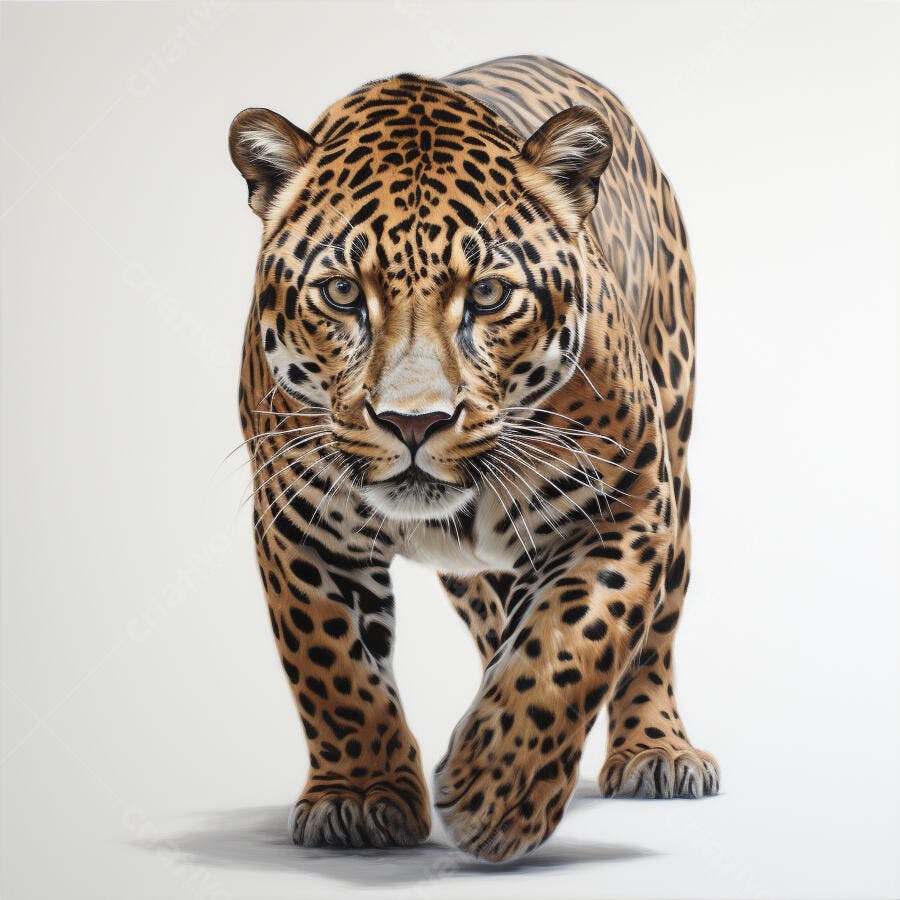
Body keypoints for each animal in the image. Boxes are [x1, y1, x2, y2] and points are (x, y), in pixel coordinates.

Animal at [228, 54, 719, 863]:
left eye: (488, 294)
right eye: (342, 293)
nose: (413, 422)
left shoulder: (627, 502)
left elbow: (573, 641)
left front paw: (498, 790)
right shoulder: (300, 523)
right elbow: (334, 668)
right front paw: (360, 797)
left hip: (674, 460)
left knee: (654, 638)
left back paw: (657, 752)